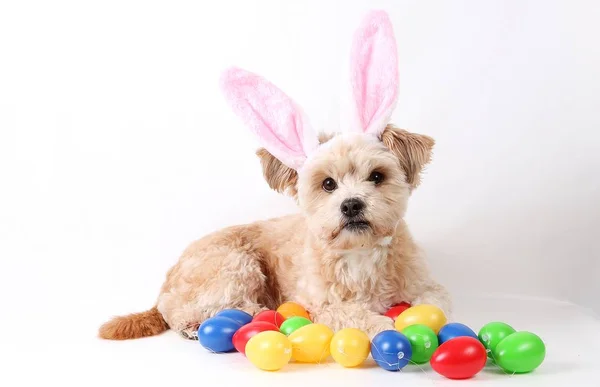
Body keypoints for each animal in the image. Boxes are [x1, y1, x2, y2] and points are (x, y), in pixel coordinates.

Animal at [97, 10, 450, 342]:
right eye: (328, 184)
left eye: (376, 176)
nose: (351, 205)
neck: (359, 253)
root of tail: (164, 286)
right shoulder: (322, 305)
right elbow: (352, 315)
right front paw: (382, 326)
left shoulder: (426, 285)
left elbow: (436, 304)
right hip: (236, 263)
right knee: (190, 311)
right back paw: (226, 319)